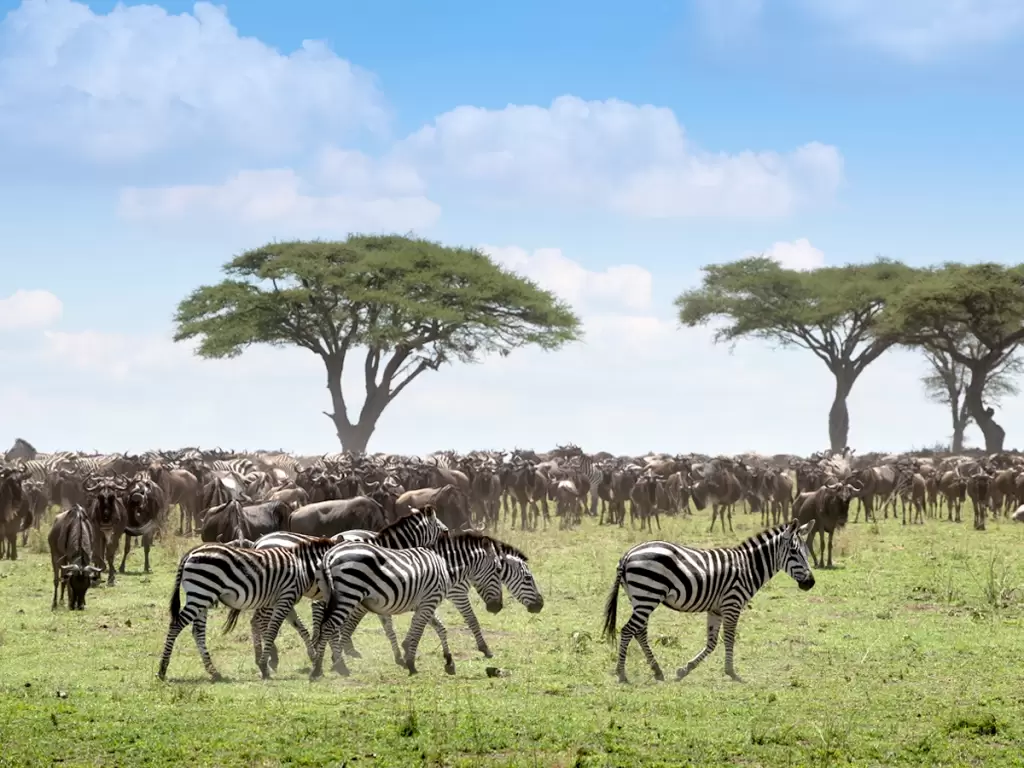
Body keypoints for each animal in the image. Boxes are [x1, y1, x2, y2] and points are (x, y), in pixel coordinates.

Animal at [156, 536, 335, 684]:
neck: (302, 568)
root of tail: (190, 552)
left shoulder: (283, 600)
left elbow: (301, 628)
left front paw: (315, 661)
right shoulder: (285, 598)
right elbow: (272, 631)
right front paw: (264, 666)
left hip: (202, 597)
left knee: (197, 632)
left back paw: (214, 672)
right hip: (201, 593)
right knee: (176, 625)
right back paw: (162, 669)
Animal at [309, 532, 505, 684]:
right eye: (498, 569)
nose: (498, 607)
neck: (444, 565)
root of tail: (329, 555)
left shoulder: (425, 602)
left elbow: (439, 628)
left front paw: (448, 662)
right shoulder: (429, 601)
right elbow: (419, 630)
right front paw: (411, 663)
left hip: (330, 595)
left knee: (327, 627)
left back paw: (331, 665)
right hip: (349, 593)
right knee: (329, 627)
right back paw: (323, 669)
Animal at [598, 518, 815, 684]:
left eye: (806, 552)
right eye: (794, 552)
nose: (811, 583)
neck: (748, 567)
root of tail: (628, 555)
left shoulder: (716, 609)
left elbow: (711, 643)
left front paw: (685, 670)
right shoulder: (732, 604)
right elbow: (729, 638)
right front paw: (732, 672)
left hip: (640, 598)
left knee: (640, 631)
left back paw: (657, 671)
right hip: (647, 595)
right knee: (628, 630)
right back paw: (622, 673)